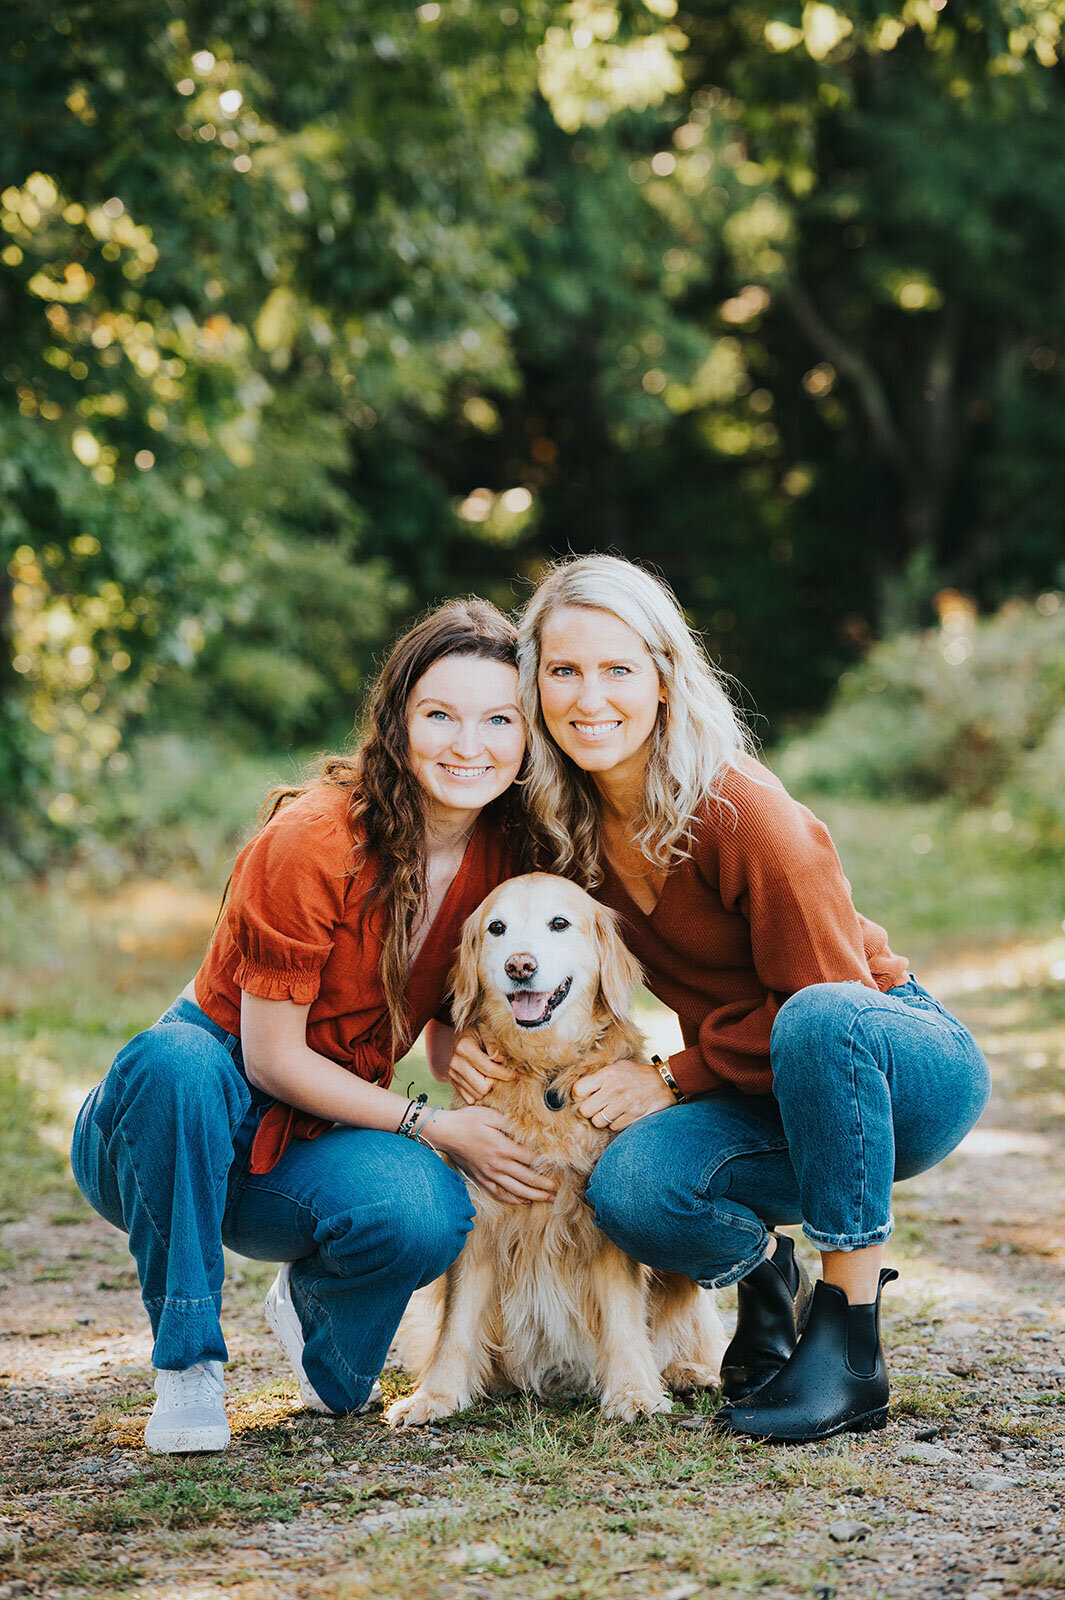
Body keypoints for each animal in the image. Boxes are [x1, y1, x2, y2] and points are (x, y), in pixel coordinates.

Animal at [382, 876, 722, 1427]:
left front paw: (634, 1391)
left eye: (559, 923)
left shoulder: (604, 1228)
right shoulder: (481, 1217)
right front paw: (437, 1395)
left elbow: (624, 1316)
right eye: (496, 928)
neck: (545, 1072)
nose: (519, 965)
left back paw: (686, 1370)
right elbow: (456, 1323)